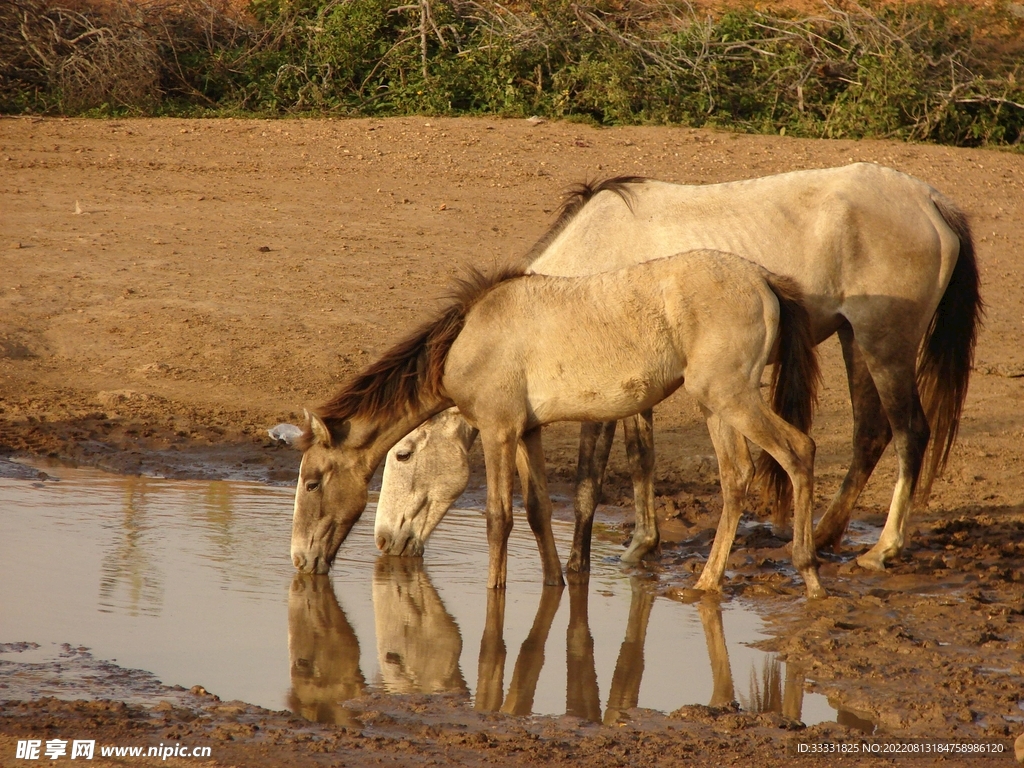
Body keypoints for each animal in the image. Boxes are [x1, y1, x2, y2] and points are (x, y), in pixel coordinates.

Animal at [291, 248, 824, 597]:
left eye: (313, 481)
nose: (300, 560)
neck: (469, 339)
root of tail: (764, 279)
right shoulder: (527, 431)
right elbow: (537, 510)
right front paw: (555, 582)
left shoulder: (499, 431)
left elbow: (499, 518)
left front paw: (496, 591)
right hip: (716, 406)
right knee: (736, 477)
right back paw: (708, 583)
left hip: (731, 397)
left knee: (798, 450)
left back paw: (809, 573)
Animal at [374, 163, 981, 573]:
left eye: (403, 454)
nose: (382, 541)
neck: (587, 264)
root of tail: (932, 201)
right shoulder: (631, 384)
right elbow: (641, 456)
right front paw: (641, 546)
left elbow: (596, 476)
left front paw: (588, 562)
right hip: (856, 341)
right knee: (870, 434)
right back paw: (826, 536)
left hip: (885, 345)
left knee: (910, 432)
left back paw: (882, 549)